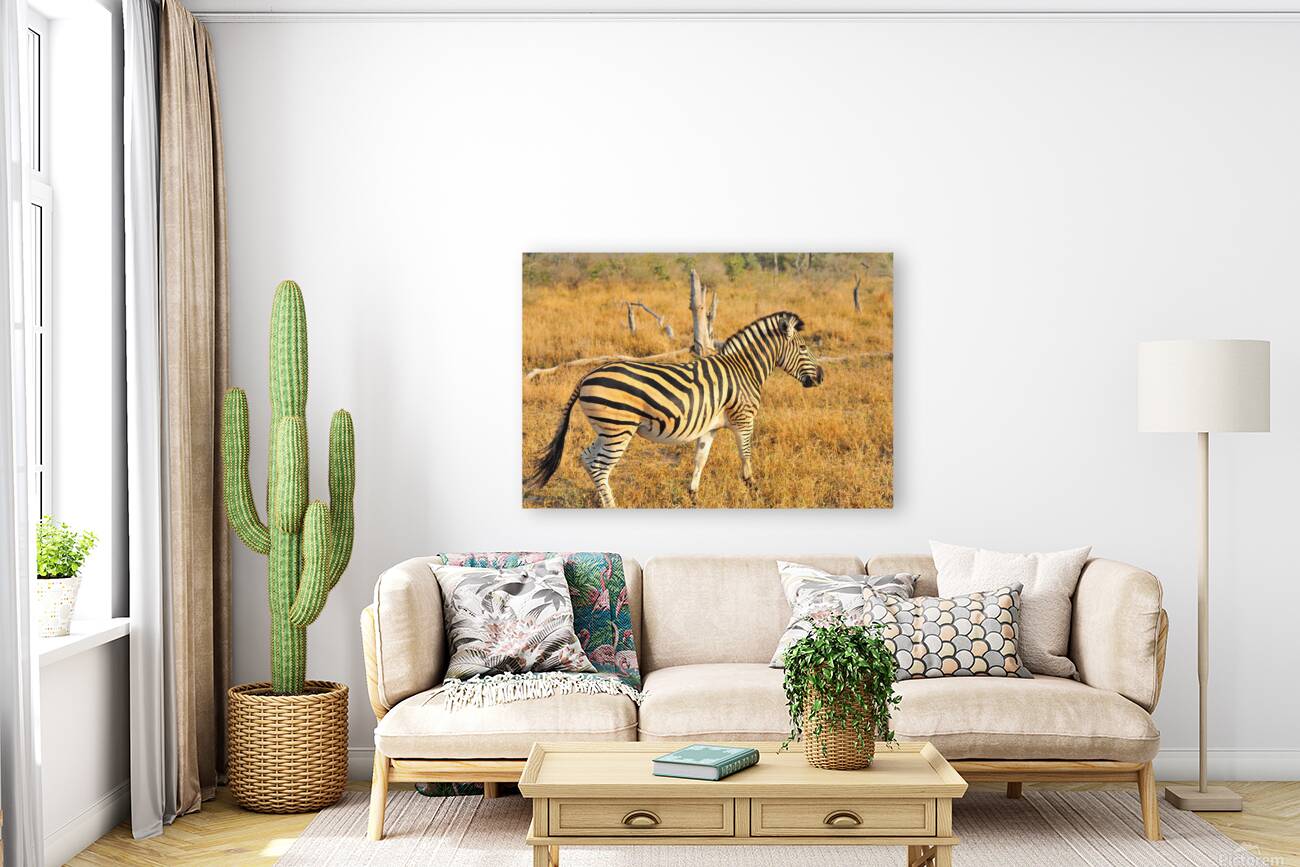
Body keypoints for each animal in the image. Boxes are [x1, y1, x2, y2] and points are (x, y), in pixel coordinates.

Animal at [526, 311, 825, 508]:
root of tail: (587, 375)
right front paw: (754, 490)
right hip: (619, 429)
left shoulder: (710, 427)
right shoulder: (744, 419)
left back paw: (602, 502)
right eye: (803, 347)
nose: (822, 377)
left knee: (587, 458)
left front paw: (693, 496)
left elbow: (700, 460)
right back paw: (612, 506)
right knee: (600, 465)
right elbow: (746, 456)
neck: (743, 369)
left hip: (606, 429)